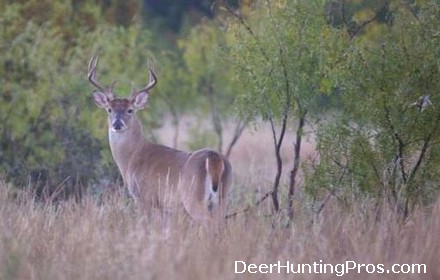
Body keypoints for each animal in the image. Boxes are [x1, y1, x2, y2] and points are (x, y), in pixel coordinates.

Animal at [86, 57, 232, 225]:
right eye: (109, 109)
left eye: (130, 110)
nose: (117, 124)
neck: (131, 158)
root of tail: (214, 158)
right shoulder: (164, 206)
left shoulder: (143, 197)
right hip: (223, 197)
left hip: (193, 197)